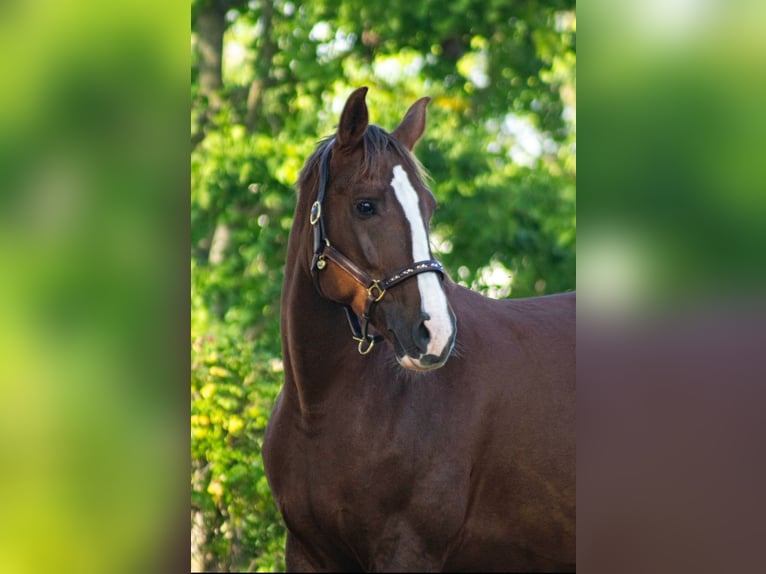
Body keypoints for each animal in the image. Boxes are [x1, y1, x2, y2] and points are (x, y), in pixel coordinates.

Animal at [263, 87, 575, 572]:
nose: (436, 334)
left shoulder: (407, 549)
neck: (320, 410)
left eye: (429, 207)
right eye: (365, 205)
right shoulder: (307, 553)